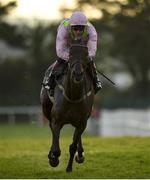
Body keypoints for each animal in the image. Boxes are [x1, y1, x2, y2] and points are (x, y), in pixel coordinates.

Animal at [40, 44, 94, 172]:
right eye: (70, 54)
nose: (78, 73)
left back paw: (80, 154)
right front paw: (53, 159)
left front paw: (69, 167)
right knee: (51, 127)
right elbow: (56, 149)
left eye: (86, 54)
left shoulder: (82, 122)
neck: (73, 96)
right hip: (46, 109)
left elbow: (73, 146)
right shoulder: (56, 120)